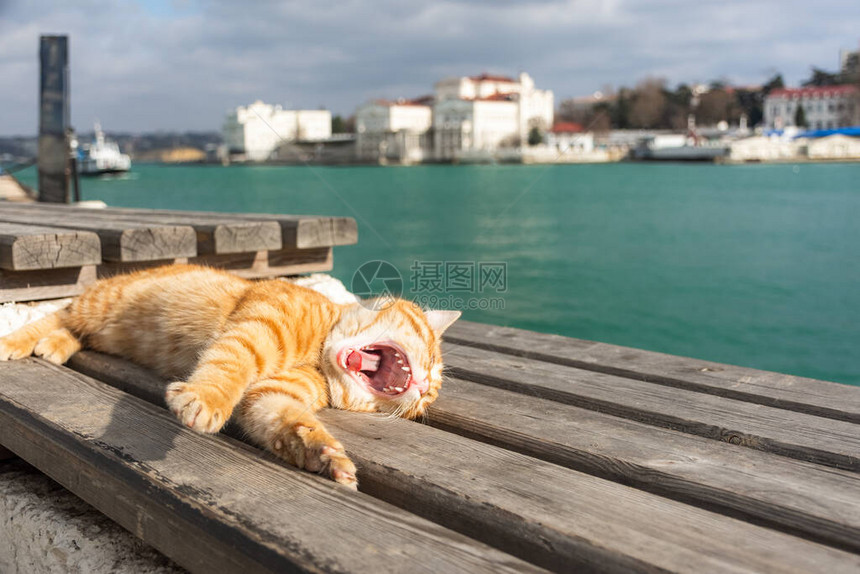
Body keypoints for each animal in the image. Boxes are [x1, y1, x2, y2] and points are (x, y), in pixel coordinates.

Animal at [0, 266, 460, 490]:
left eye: (424, 403)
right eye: (432, 359)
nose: (423, 387)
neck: (320, 353)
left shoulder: (273, 394)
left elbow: (284, 419)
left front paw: (322, 454)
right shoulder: (258, 330)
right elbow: (230, 365)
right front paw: (206, 400)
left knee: (71, 330)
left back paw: (55, 346)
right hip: (101, 304)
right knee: (57, 314)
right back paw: (16, 341)